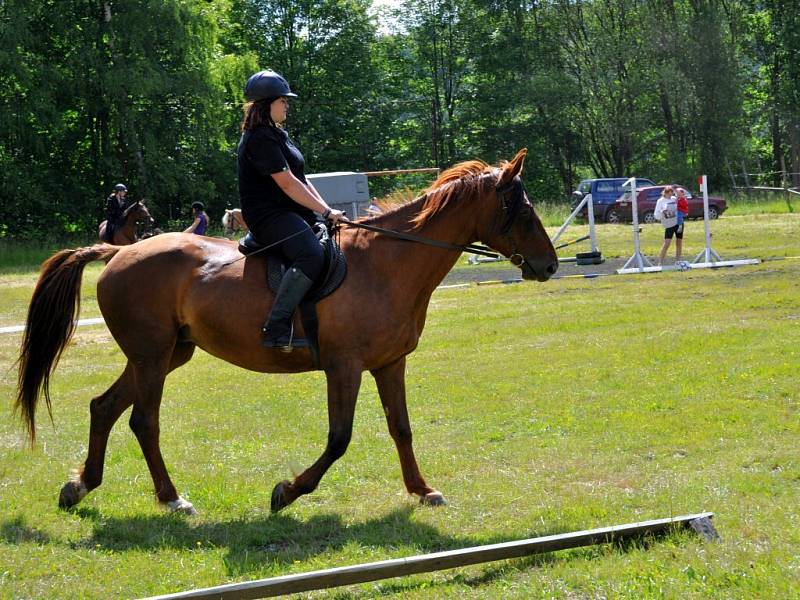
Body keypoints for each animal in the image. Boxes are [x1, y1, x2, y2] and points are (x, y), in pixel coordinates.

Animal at [15, 148, 560, 512]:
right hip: (152, 356)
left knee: (104, 407)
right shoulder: (344, 366)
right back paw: (171, 499)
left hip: (168, 353)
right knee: (143, 421)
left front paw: (423, 490)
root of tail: (118, 251)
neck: (387, 263)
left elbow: (401, 428)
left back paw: (80, 486)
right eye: (523, 210)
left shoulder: (389, 364)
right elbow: (339, 438)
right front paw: (288, 491)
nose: (550, 265)